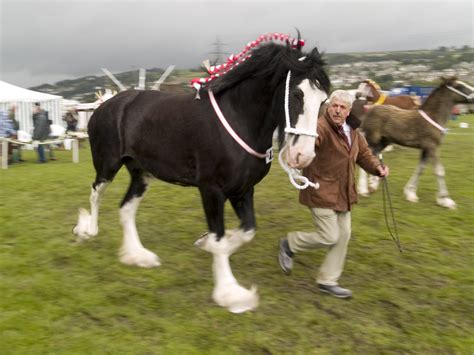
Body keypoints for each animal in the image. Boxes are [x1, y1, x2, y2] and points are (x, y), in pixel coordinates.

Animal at [73, 39, 330, 314]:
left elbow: (247, 231)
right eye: (297, 94)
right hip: (107, 165)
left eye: (323, 100)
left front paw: (205, 243)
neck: (238, 119)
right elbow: (220, 237)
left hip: (142, 173)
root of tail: (105, 105)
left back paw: (137, 255)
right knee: (96, 193)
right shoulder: (211, 190)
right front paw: (230, 293)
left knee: (126, 208)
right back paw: (86, 230)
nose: (303, 155)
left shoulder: (243, 189)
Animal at [362, 77, 472, 209]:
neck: (433, 116)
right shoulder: (432, 147)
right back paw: (363, 191)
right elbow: (439, 171)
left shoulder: (425, 149)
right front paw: (446, 200)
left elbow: (420, 169)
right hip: (372, 140)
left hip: (383, 142)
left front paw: (410, 194)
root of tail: (369, 111)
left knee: (373, 159)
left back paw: (373, 185)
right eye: (459, 86)